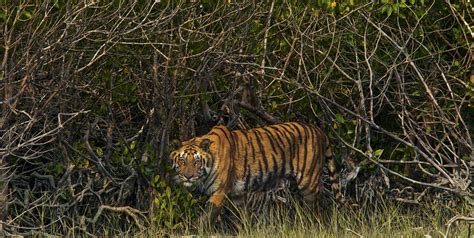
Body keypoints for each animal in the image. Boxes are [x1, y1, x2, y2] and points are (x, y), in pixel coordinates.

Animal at [170, 122, 344, 222]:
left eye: (196, 162)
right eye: (182, 161)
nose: (188, 176)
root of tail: (319, 130)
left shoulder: (219, 193)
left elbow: (206, 218)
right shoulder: (238, 195)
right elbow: (242, 219)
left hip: (308, 182)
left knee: (315, 209)